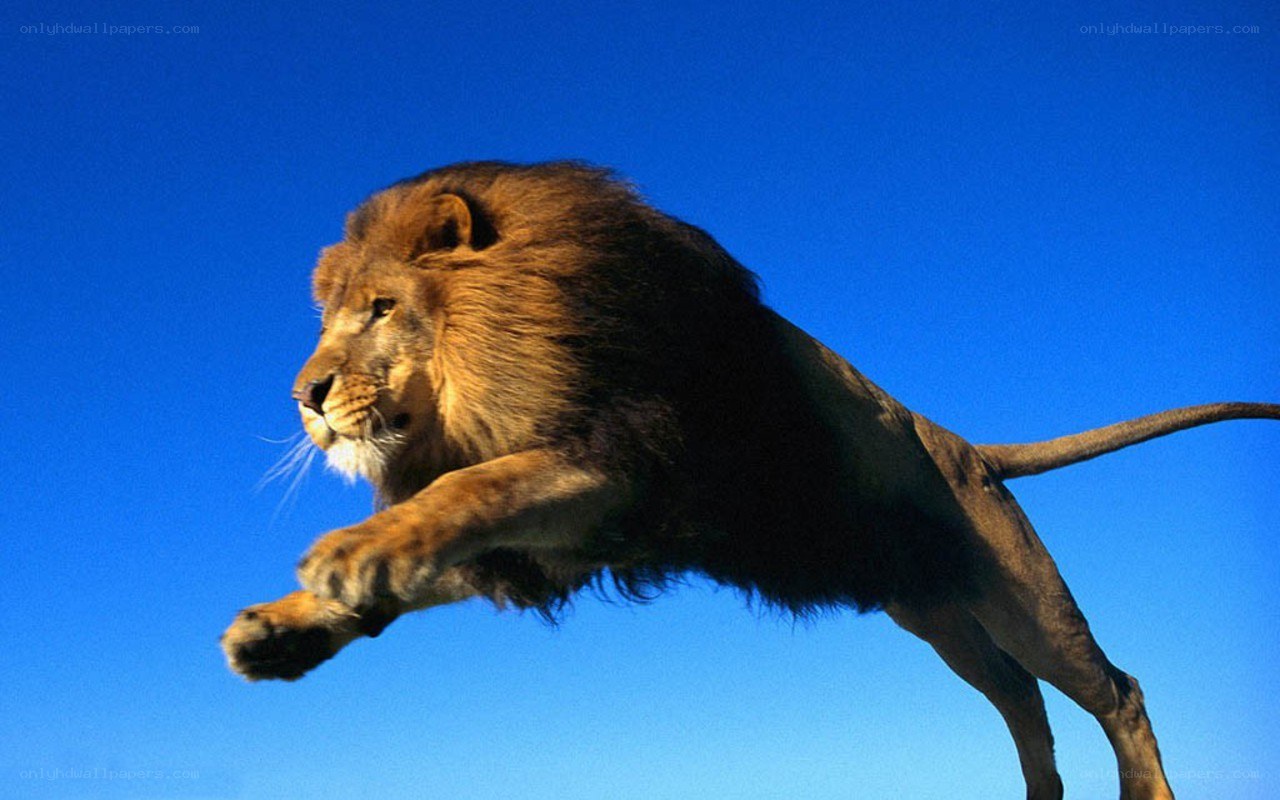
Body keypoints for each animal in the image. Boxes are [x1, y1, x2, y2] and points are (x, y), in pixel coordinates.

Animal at [221, 161, 1277, 800]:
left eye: (380, 308)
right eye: (328, 319)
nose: (306, 397)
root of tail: (968, 448)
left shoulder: (621, 463)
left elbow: (471, 492)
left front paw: (350, 554)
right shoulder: (567, 537)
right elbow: (440, 546)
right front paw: (284, 628)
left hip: (1019, 594)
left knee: (1115, 689)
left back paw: (1139, 789)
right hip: (938, 616)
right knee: (1020, 698)